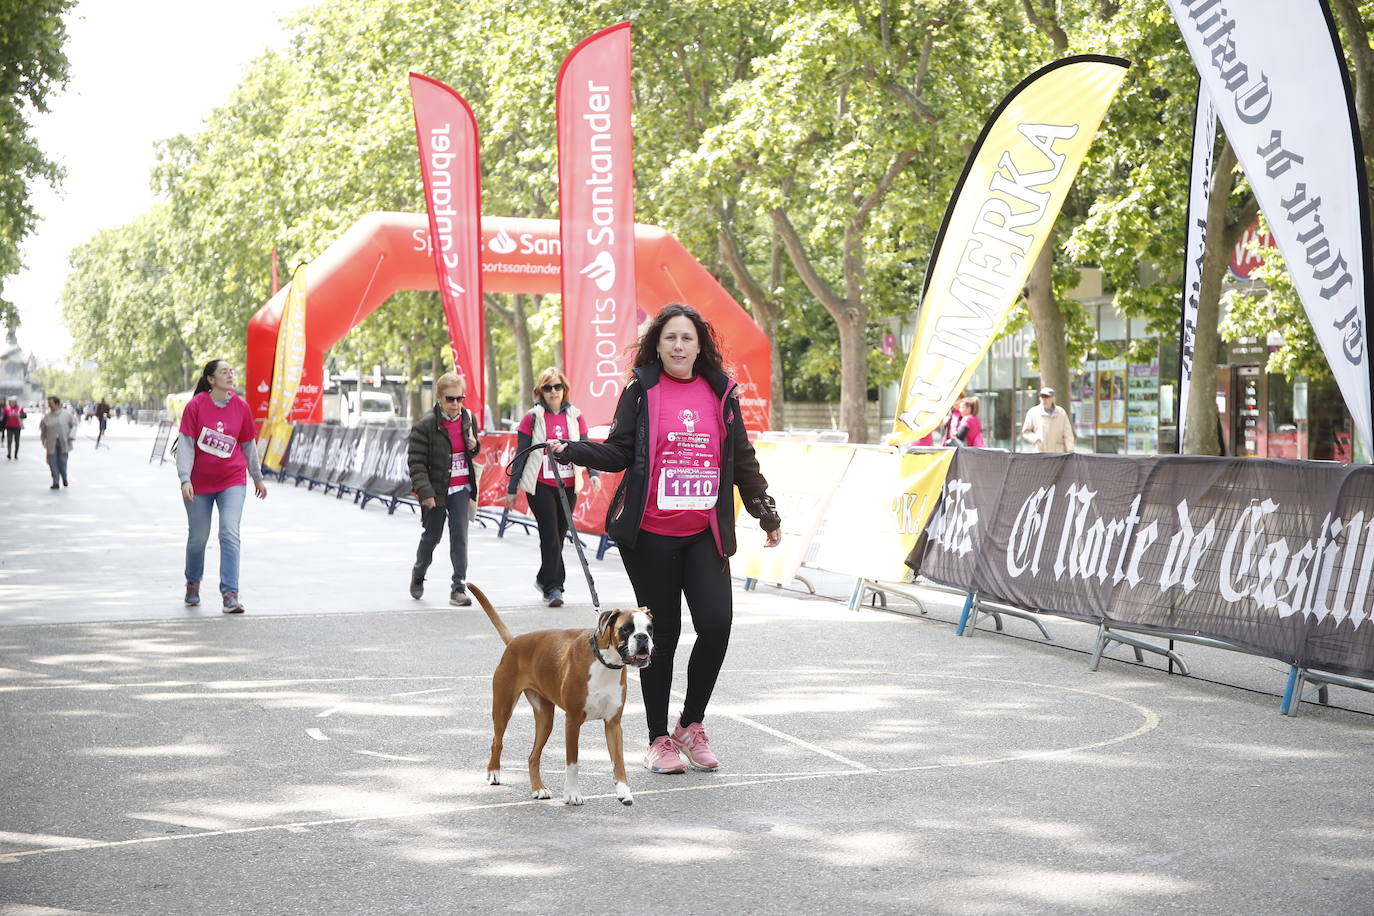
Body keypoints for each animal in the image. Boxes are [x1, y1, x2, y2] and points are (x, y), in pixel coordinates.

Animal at [472, 585, 654, 807]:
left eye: (650, 628)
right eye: (626, 629)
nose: (643, 637)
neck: (604, 662)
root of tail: (514, 641)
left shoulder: (613, 724)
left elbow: (618, 761)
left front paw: (623, 791)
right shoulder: (573, 721)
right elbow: (573, 762)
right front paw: (572, 794)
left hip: (545, 719)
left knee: (533, 756)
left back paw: (538, 788)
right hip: (503, 707)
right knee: (497, 741)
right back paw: (494, 772)